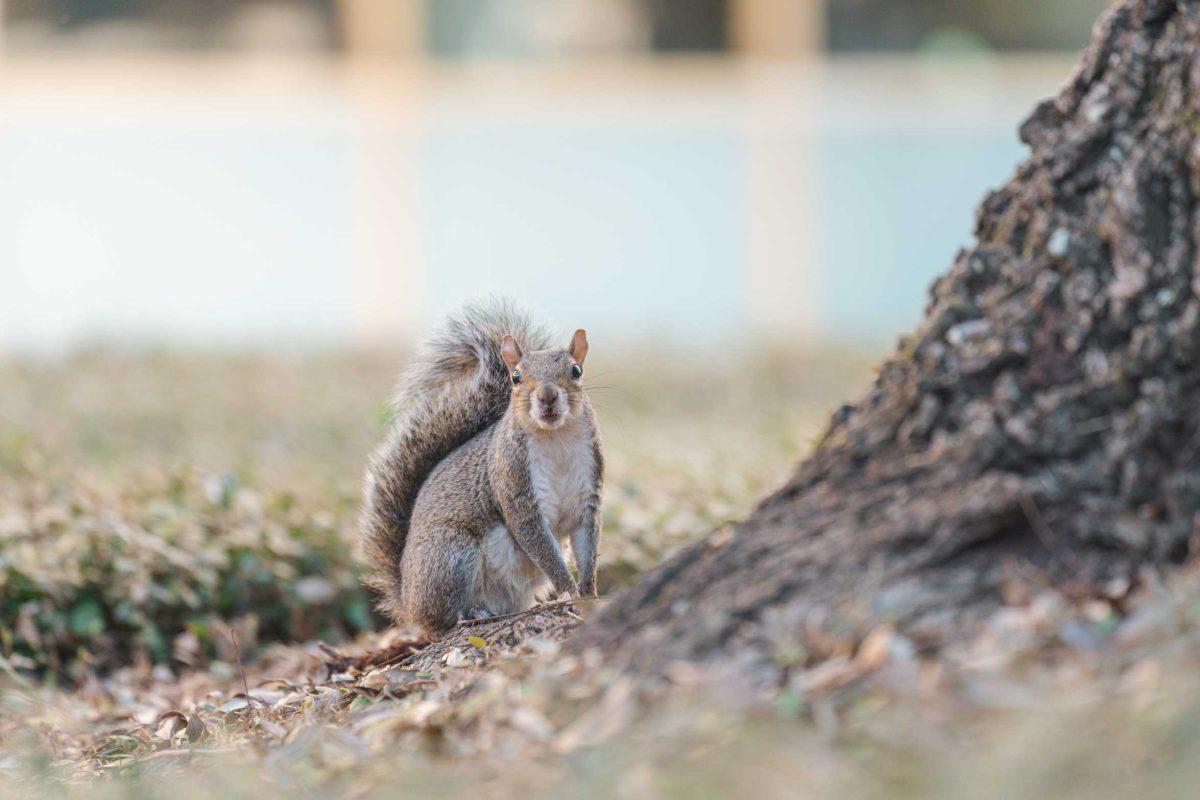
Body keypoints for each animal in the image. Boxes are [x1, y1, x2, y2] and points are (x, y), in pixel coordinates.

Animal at [355, 299, 600, 638]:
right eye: (516, 377)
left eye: (576, 371)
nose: (548, 396)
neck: (556, 439)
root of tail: (408, 600)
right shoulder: (515, 486)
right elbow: (538, 542)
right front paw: (570, 592)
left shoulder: (587, 492)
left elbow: (587, 544)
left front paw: (589, 593)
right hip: (452, 557)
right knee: (439, 621)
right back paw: (468, 614)